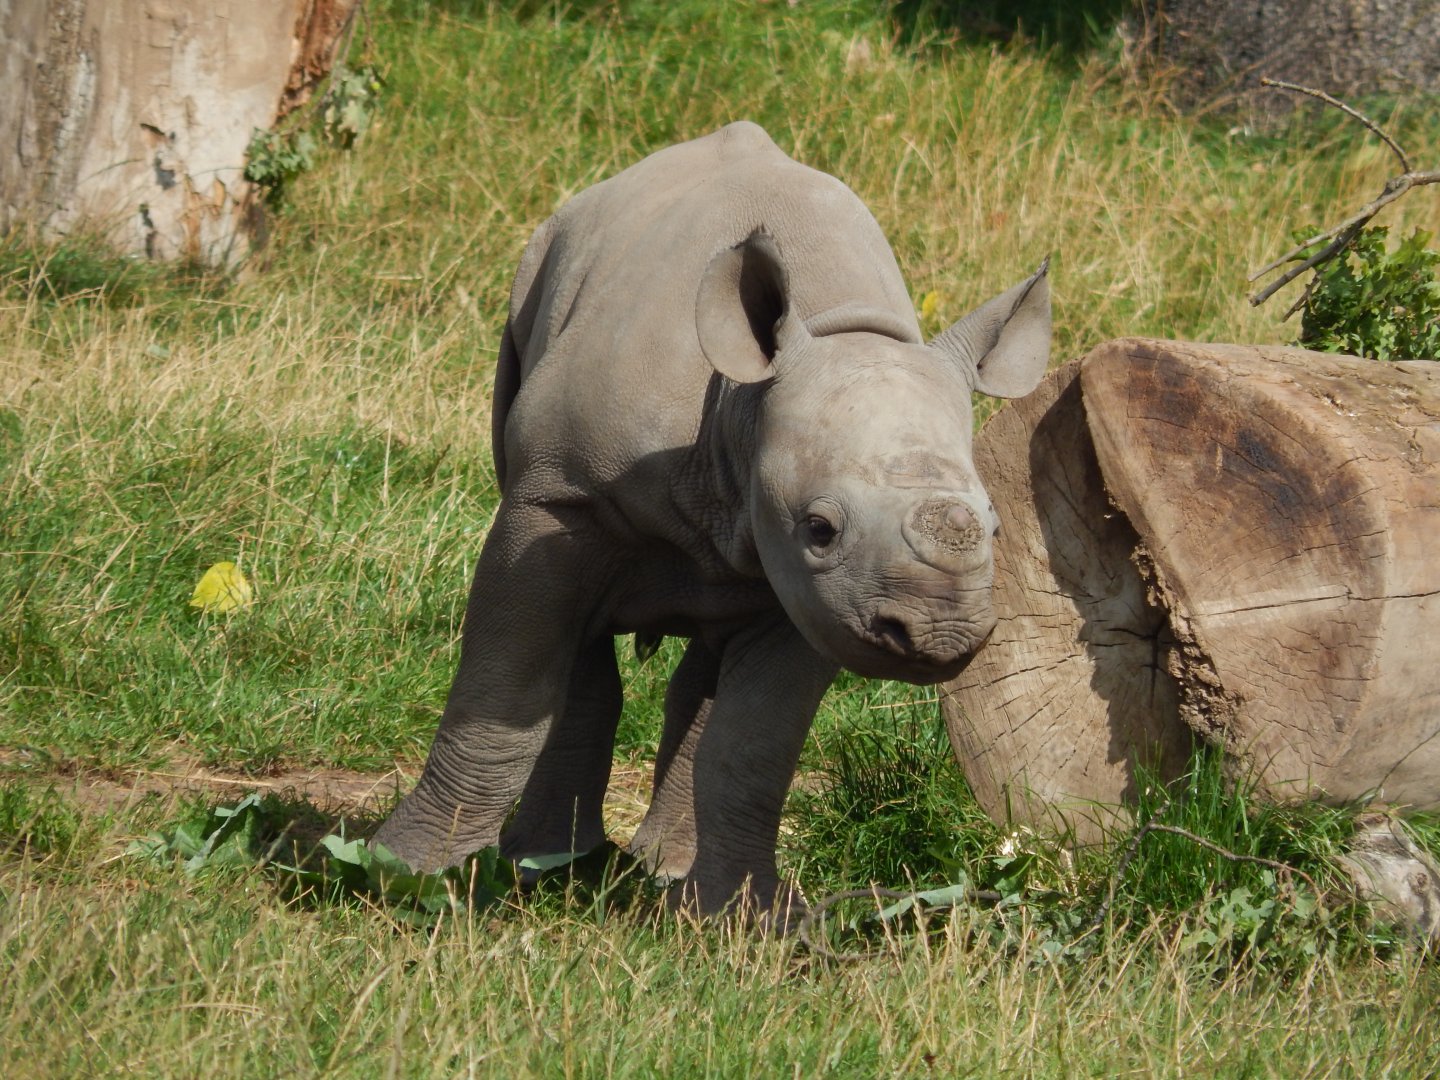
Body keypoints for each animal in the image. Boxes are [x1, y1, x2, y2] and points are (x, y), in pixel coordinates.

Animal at [372, 121, 1051, 922]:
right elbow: (503, 690)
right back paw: (547, 864)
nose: (937, 635)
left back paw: (658, 871)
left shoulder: (816, 598)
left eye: (996, 527)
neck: (747, 406)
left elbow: (754, 746)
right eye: (820, 528)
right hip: (534, 285)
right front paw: (405, 875)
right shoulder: (560, 495)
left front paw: (742, 920)